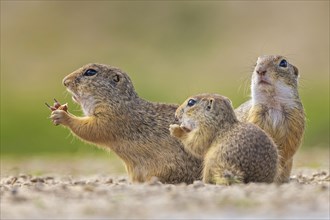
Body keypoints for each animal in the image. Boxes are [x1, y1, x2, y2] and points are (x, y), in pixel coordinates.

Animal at [47, 63, 202, 184]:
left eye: (90, 72)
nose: (65, 81)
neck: (117, 100)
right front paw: (58, 107)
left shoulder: (111, 118)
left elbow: (92, 129)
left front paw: (62, 115)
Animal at [236, 55, 306, 183]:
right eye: (256, 63)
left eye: (283, 63)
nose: (260, 70)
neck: (273, 103)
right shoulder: (255, 116)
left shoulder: (295, 120)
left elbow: (288, 149)